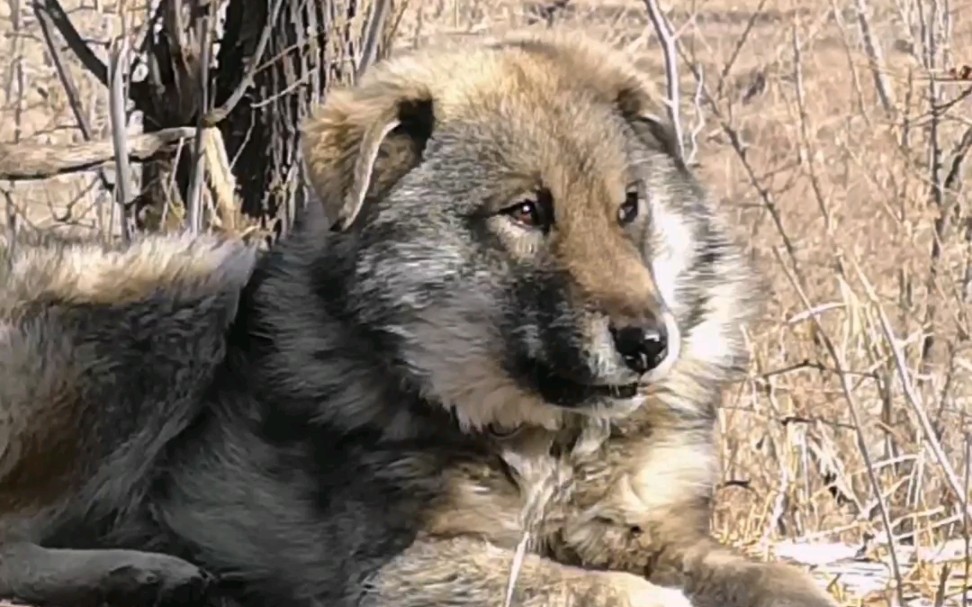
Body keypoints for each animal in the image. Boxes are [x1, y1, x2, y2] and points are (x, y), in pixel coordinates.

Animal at [0, 27, 836, 607]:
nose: (649, 344)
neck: (545, 441)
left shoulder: (651, 529)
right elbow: (603, 589)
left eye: (628, 207)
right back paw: (145, 569)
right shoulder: (401, 565)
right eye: (526, 212)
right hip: (189, 293)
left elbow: (783, 581)